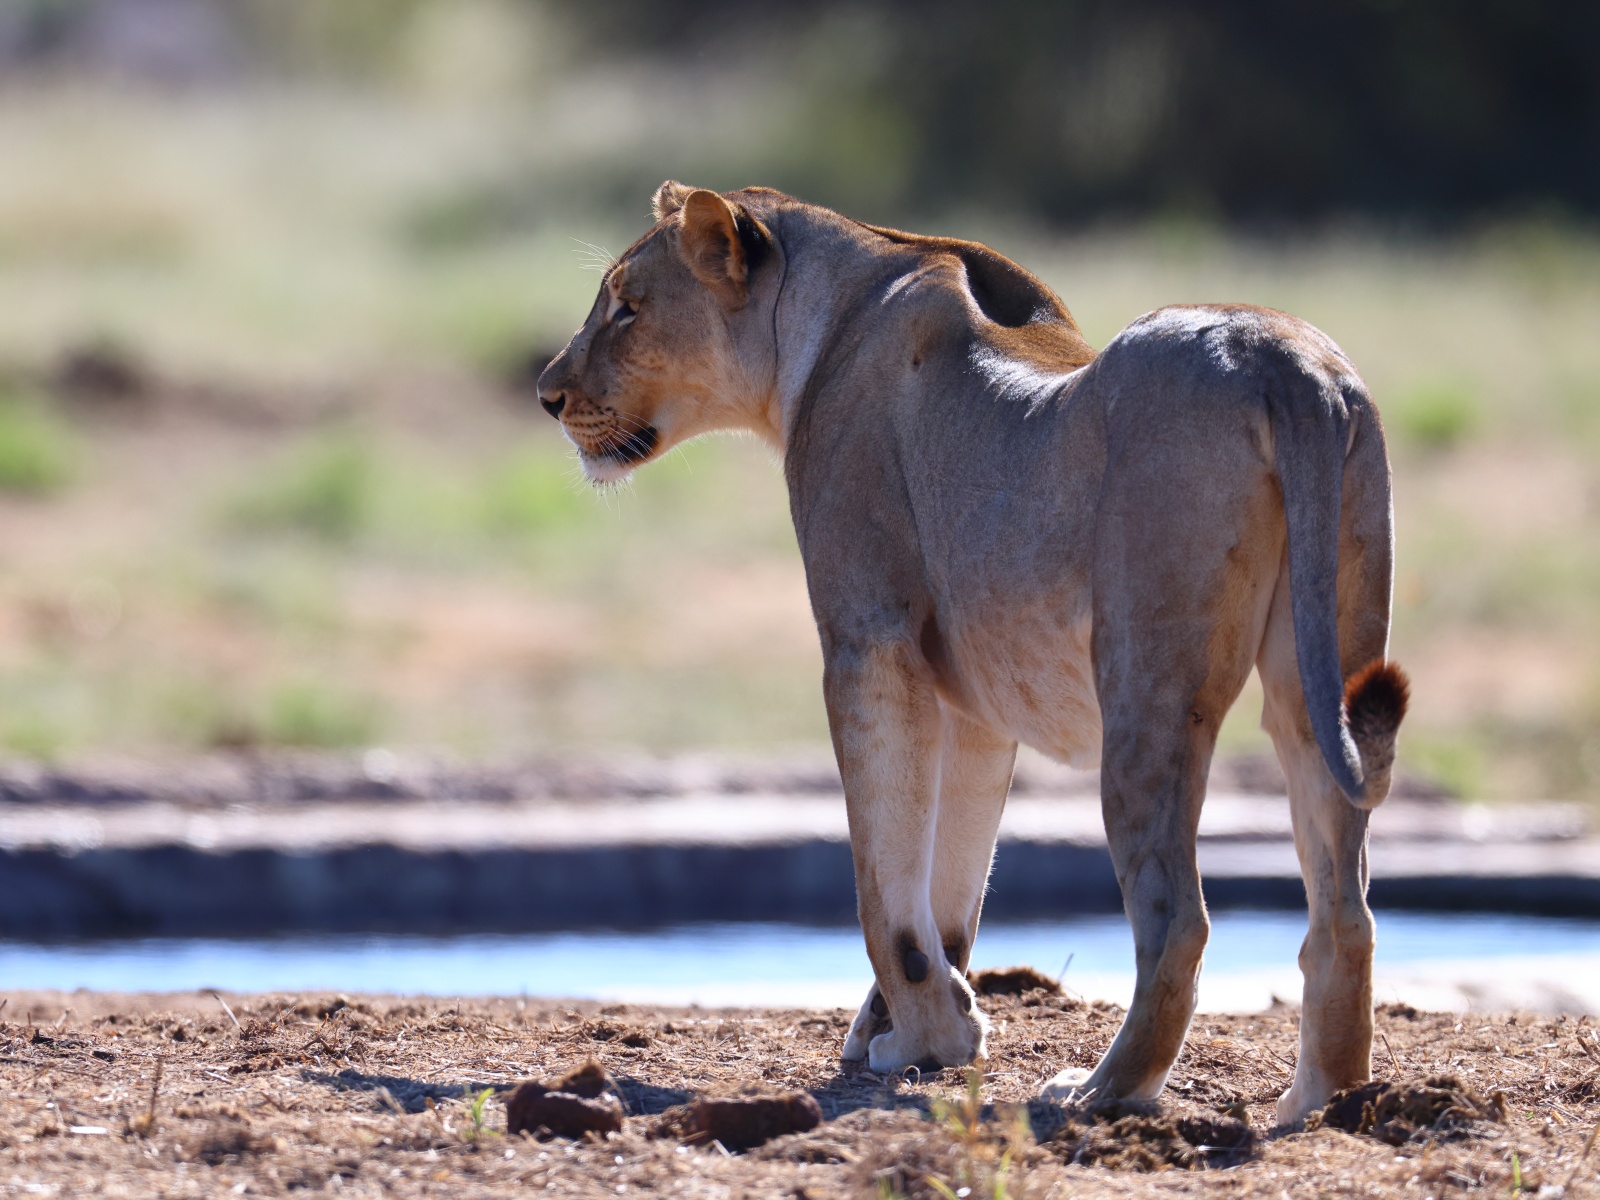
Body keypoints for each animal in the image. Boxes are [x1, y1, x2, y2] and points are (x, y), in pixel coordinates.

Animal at [536, 182, 1409, 1125]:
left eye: (627, 307)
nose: (547, 394)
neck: (820, 317)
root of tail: (1284, 362)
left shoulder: (869, 643)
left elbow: (885, 888)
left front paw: (927, 1039)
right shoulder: (975, 695)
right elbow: (950, 882)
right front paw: (923, 1030)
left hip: (1147, 692)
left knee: (1178, 916)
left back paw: (1100, 1090)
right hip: (1321, 677)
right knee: (1345, 909)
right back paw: (1319, 1099)